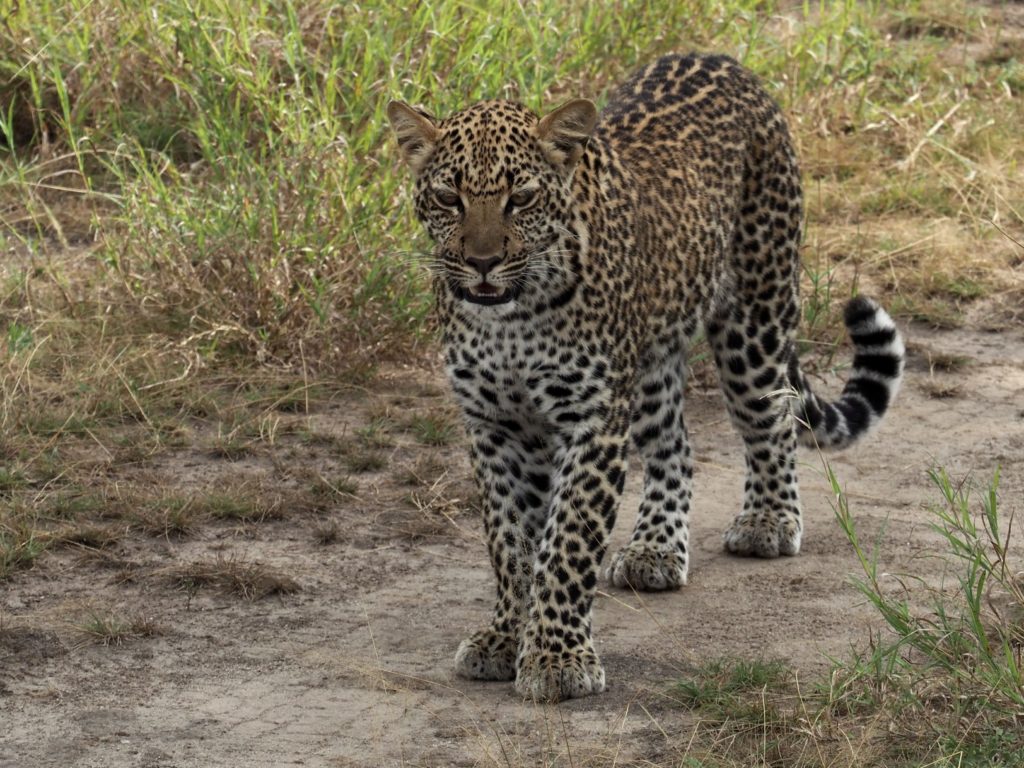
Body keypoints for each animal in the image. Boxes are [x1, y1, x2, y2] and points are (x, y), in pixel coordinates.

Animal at [386, 53, 904, 703]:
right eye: (448, 196)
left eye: (521, 197)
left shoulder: (592, 418)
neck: (510, 318)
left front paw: (557, 657)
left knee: (773, 422)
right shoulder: (493, 426)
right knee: (676, 449)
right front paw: (505, 638)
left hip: (753, 321)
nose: (482, 263)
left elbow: (567, 540)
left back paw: (769, 521)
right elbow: (511, 543)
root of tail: (720, 59)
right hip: (654, 361)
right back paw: (655, 548)